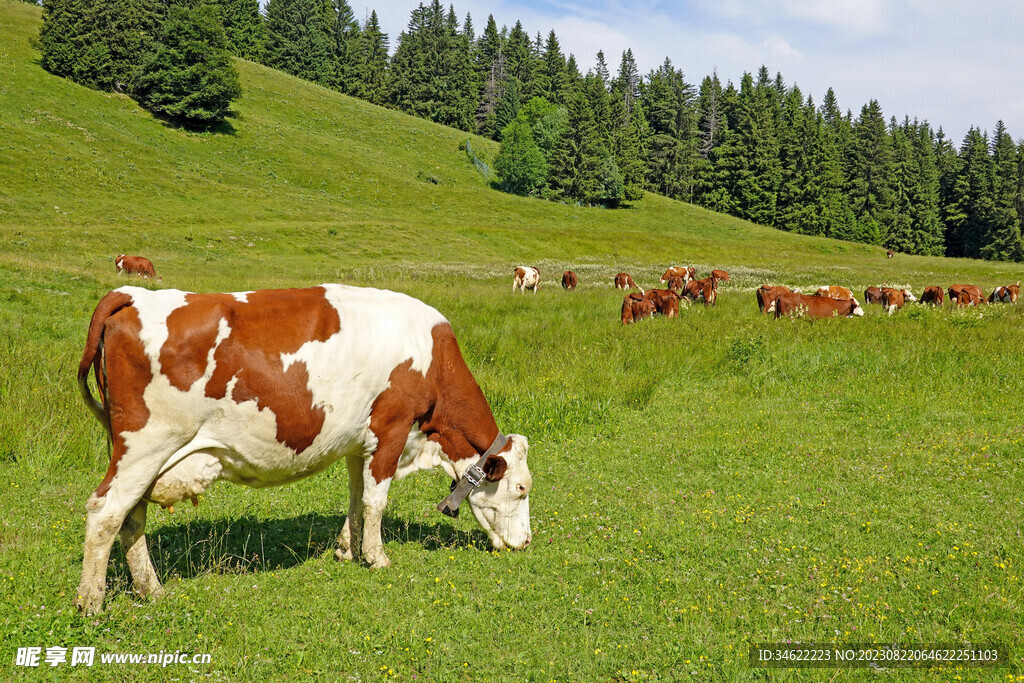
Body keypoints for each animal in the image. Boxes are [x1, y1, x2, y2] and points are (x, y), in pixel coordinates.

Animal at [75, 282, 532, 614]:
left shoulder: (358, 441)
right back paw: (92, 602)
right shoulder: (392, 428)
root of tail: (132, 294)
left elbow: (357, 498)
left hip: (139, 455)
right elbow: (377, 500)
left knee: (131, 517)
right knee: (106, 512)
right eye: (522, 489)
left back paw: (150, 590)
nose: (527, 542)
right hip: (146, 445)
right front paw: (376, 557)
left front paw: (347, 549)